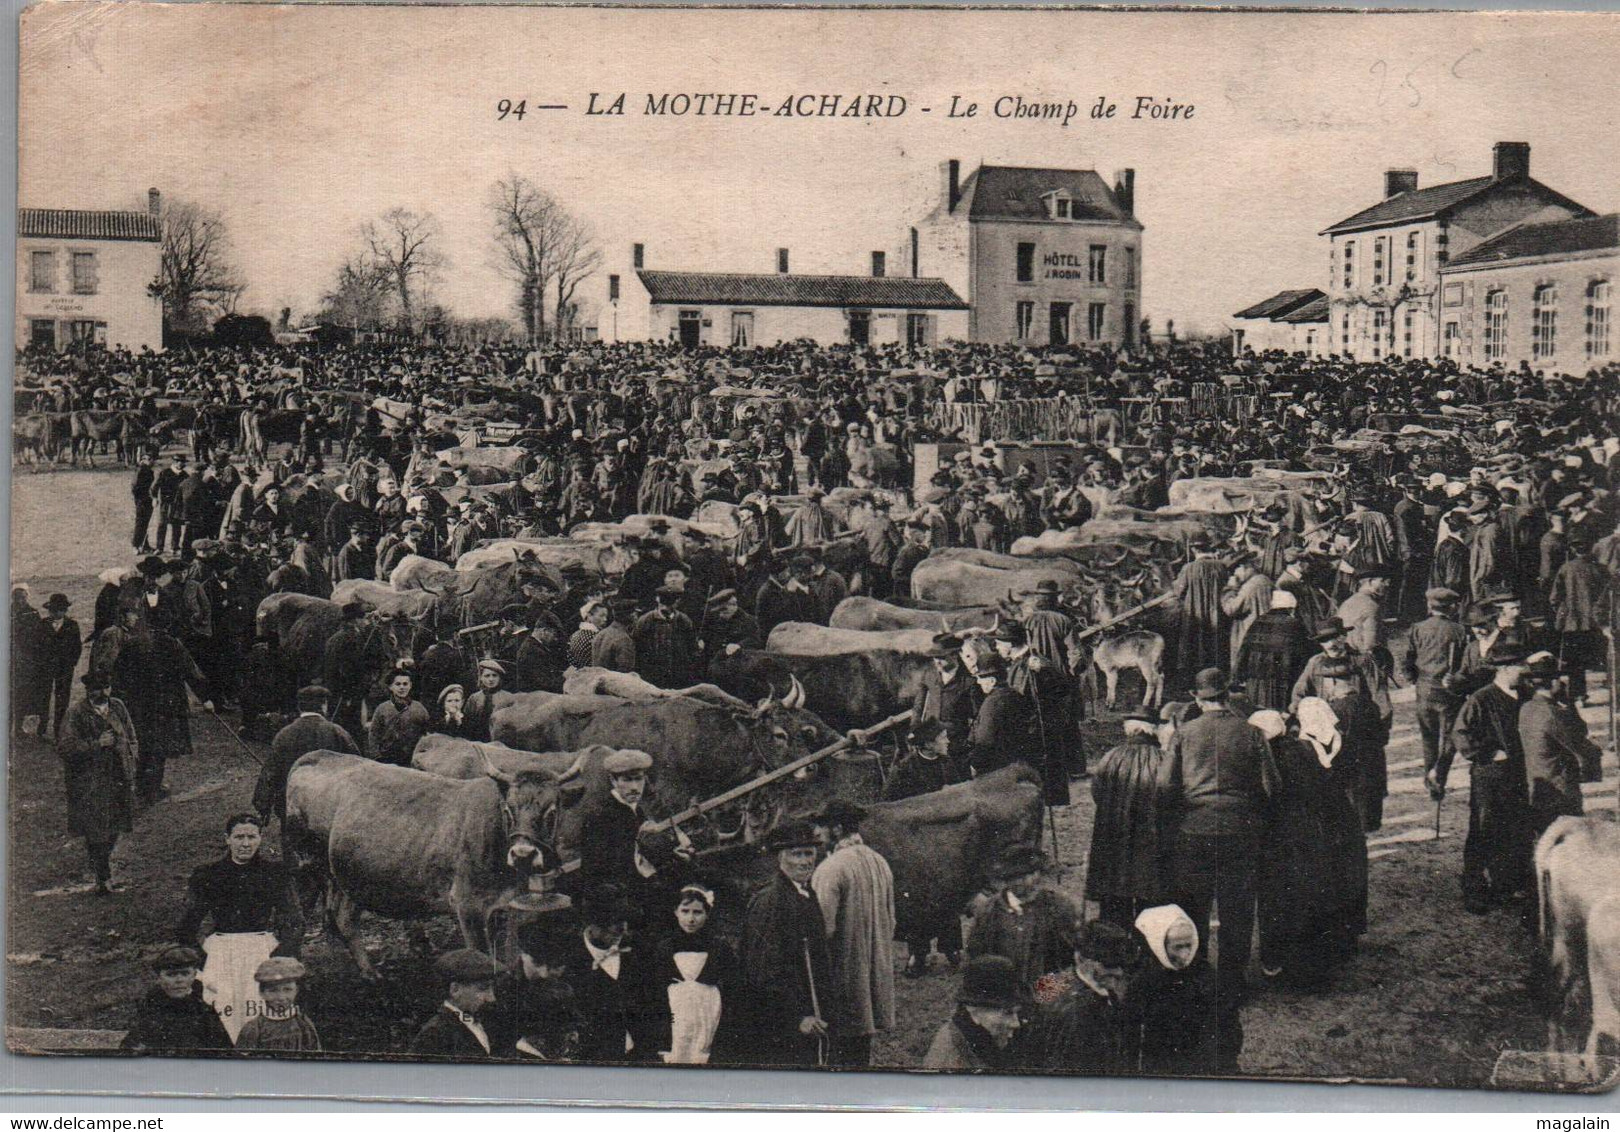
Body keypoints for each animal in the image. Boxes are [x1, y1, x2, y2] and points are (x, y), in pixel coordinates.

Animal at [286, 748, 576, 978]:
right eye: (508, 810)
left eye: (552, 812)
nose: (523, 854)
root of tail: (316, 756)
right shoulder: (468, 904)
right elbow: (481, 957)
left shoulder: (508, 905)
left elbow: (508, 957)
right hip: (306, 865)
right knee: (302, 917)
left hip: (347, 876)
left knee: (342, 917)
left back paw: (368, 971)